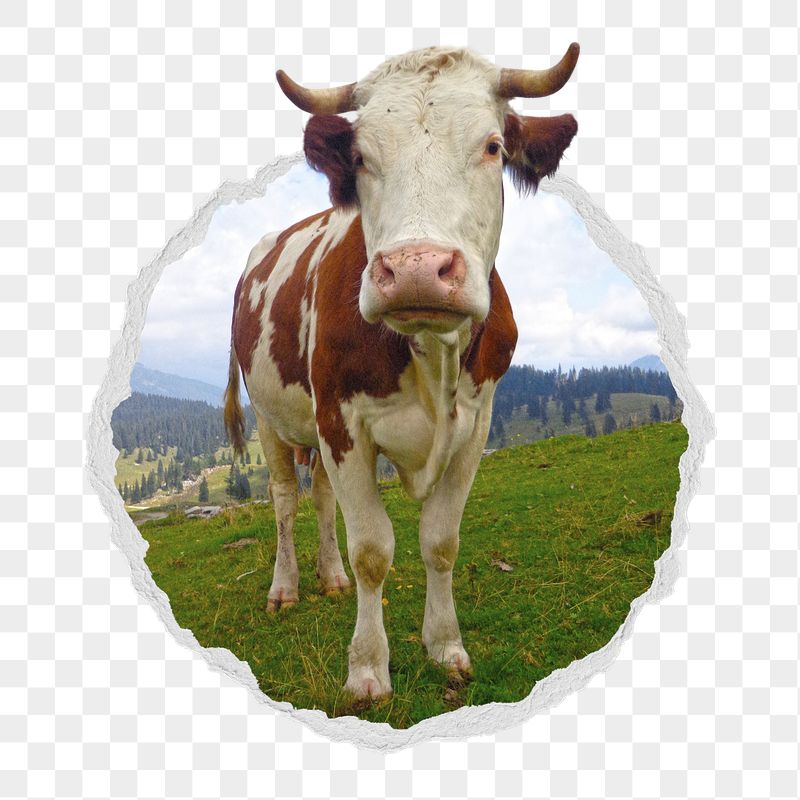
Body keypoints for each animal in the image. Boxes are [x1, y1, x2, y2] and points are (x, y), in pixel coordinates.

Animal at [224, 45, 579, 701]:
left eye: (494, 146)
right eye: (361, 156)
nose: (416, 269)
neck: (429, 351)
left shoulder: (476, 424)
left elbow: (440, 542)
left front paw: (445, 647)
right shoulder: (343, 424)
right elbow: (372, 550)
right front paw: (367, 670)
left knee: (318, 497)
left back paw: (330, 576)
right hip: (270, 417)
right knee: (285, 498)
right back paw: (286, 587)